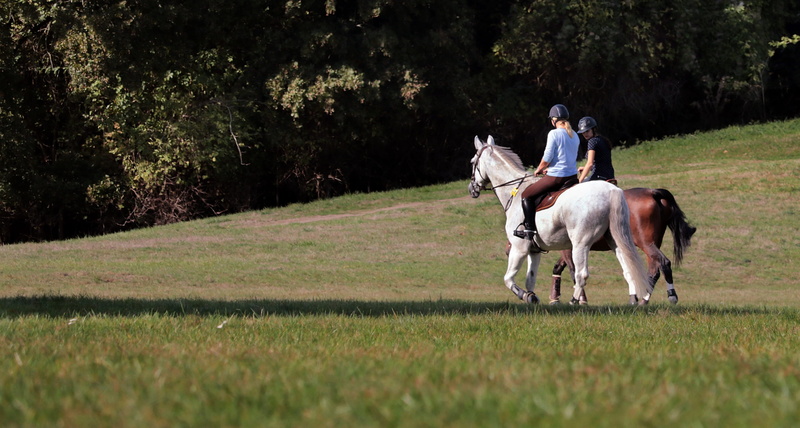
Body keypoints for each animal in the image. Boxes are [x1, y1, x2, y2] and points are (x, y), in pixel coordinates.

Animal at [468, 135, 653, 304]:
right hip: (615, 240)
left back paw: (574, 302)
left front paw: (524, 295)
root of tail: (611, 191)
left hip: (580, 244)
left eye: (472, 162)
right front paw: (532, 297)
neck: (514, 191)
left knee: (581, 274)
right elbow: (530, 279)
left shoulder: (519, 248)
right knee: (628, 268)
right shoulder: (534, 251)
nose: (471, 189)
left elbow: (508, 279)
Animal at [548, 188, 697, 305]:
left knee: (664, 262)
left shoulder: (570, 249)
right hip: (652, 244)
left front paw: (580, 299)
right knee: (654, 269)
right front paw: (555, 298)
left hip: (646, 243)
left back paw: (668, 295)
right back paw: (644, 299)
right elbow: (558, 268)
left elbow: (573, 271)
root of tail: (653, 192)